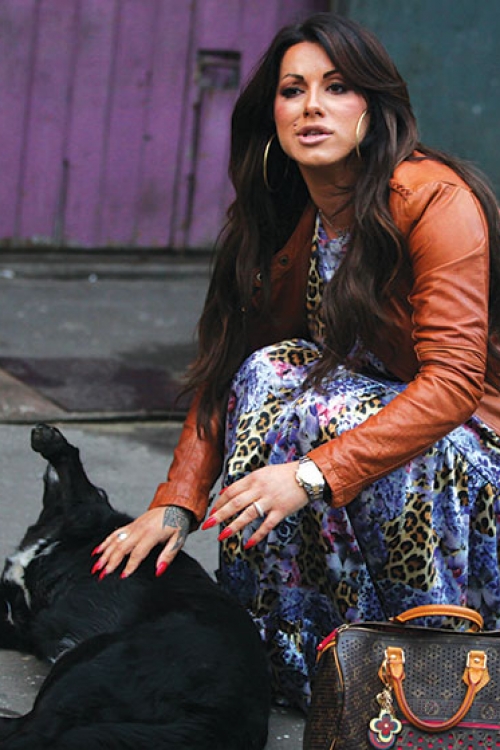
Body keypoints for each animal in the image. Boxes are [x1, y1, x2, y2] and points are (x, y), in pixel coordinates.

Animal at [0, 424, 270, 749]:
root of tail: (224, 717)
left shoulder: (87, 505)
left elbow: (74, 475)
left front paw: (51, 441)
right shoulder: (19, 621)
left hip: (91, 666)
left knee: (34, 730)